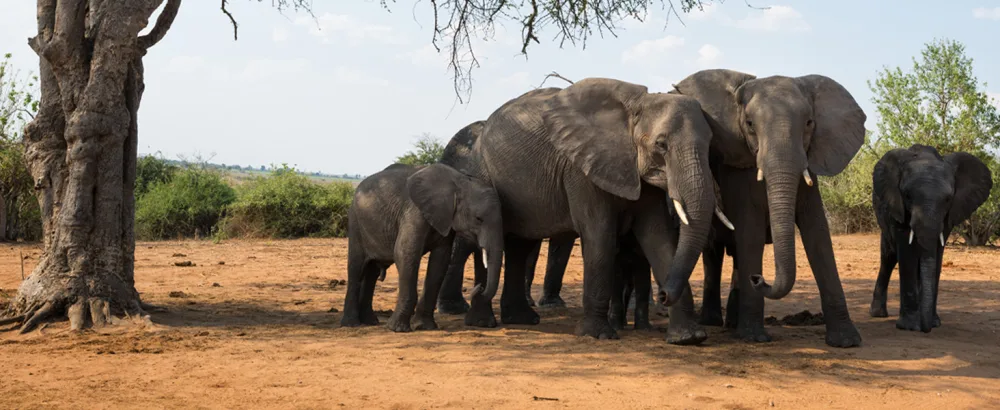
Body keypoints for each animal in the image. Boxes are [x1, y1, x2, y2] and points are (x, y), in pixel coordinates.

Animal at [340, 163, 504, 332]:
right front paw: (397, 329)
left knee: (371, 273)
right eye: (478, 219)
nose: (479, 287)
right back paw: (351, 324)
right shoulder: (414, 212)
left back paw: (370, 322)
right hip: (355, 223)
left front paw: (424, 326)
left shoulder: (444, 219)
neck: (460, 182)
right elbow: (405, 253)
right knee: (356, 268)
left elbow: (440, 260)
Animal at [438, 78, 725, 344]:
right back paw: (477, 319)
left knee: (520, 245)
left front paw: (689, 338)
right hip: (481, 172)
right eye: (661, 145)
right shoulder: (580, 169)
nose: (664, 296)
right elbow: (600, 236)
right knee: (482, 239)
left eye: (712, 145)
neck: (632, 110)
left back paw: (520, 319)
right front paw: (598, 335)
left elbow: (658, 238)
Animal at [669, 69, 867, 347]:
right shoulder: (738, 170)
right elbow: (750, 232)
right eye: (750, 124)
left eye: (809, 123)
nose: (758, 279)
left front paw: (846, 341)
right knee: (714, 252)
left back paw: (732, 323)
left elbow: (818, 234)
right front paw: (754, 339)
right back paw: (714, 322)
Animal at [869, 144, 992, 332]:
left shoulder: (949, 214)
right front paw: (910, 326)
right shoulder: (897, 208)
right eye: (907, 195)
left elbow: (937, 253)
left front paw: (934, 323)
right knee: (888, 258)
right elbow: (906, 253)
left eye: (948, 199)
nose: (926, 329)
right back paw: (878, 314)